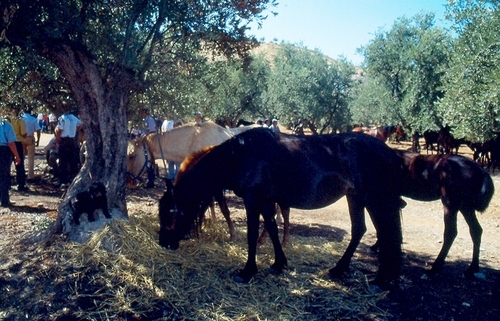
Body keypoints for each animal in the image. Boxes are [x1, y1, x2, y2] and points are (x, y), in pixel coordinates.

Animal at [396, 150, 494, 278]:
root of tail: (481, 171)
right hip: (465, 206)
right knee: (476, 230)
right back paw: (472, 268)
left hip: (450, 204)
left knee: (451, 232)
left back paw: (435, 268)